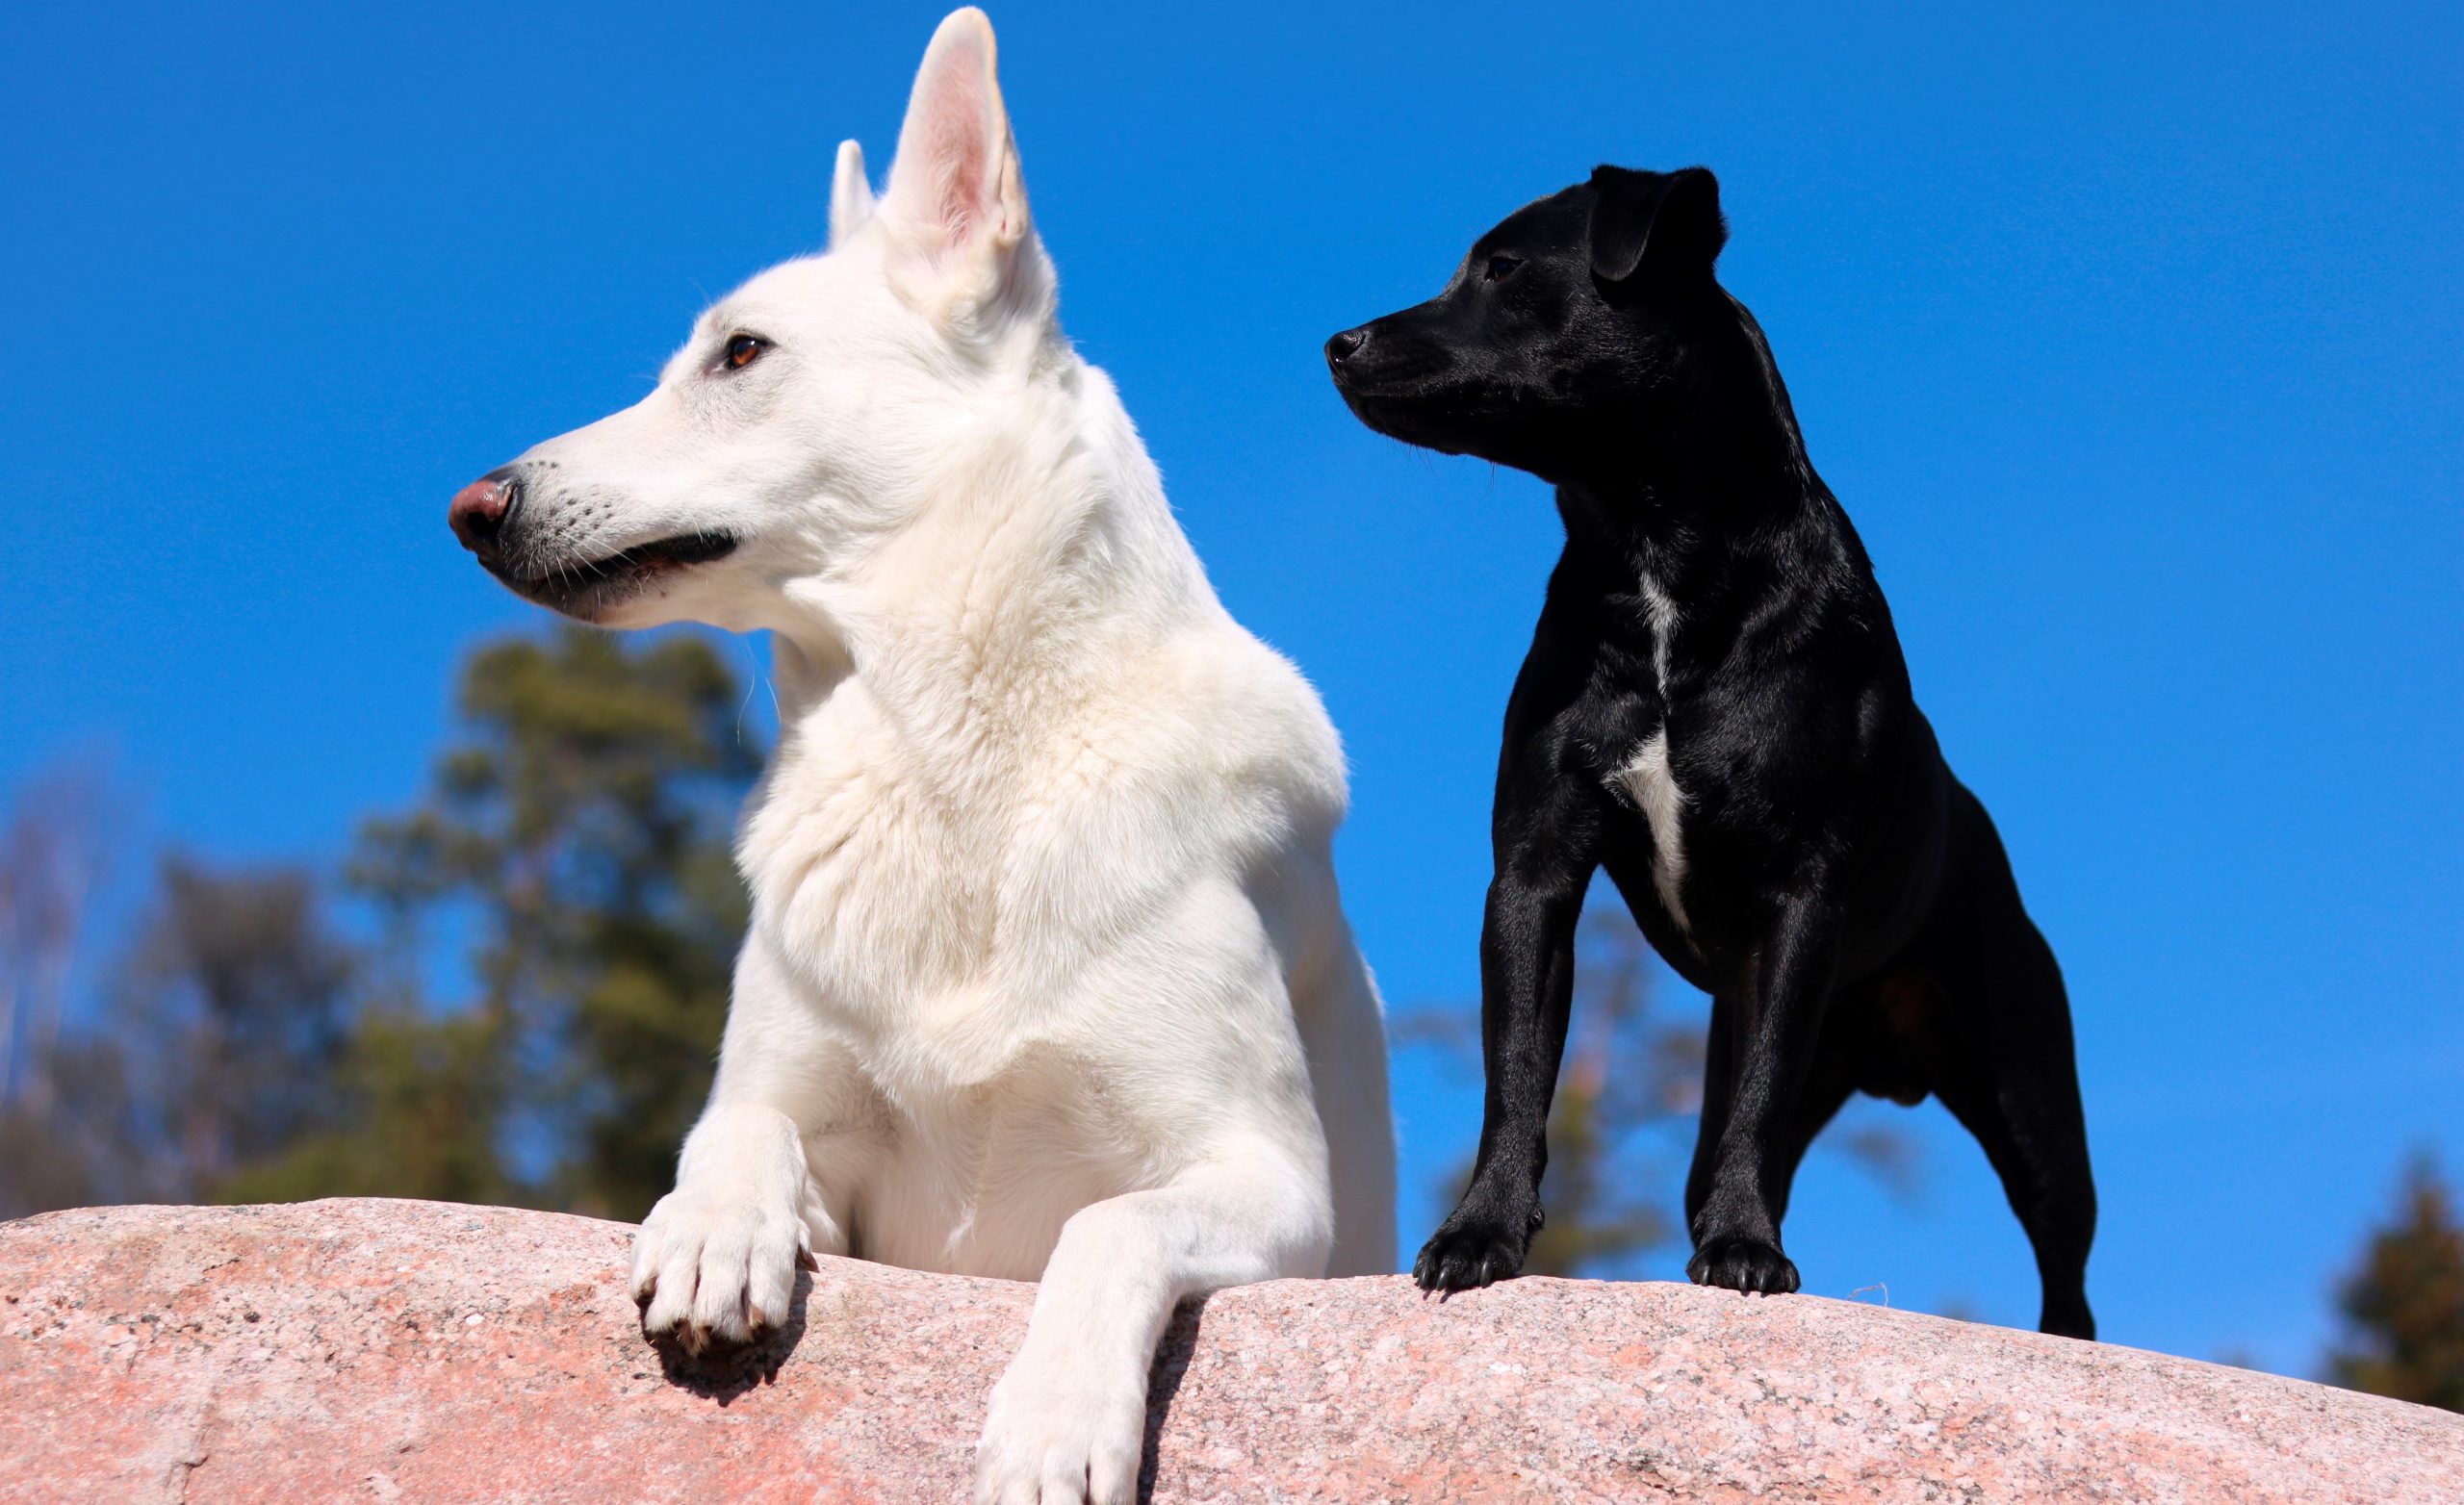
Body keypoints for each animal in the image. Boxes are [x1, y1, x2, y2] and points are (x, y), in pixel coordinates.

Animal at [450, 12, 1399, 1505]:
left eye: (740, 354)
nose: (473, 508)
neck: (953, 763)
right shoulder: (823, 1151)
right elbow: (738, 1127)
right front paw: (714, 1225)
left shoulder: (1264, 1180)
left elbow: (1109, 1227)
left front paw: (1056, 1419)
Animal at [1330, 167, 2099, 1339]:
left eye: (1503, 269)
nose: (1340, 340)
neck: (1653, 559)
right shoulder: (1534, 872)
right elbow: (1518, 1069)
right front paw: (1479, 1235)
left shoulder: (1799, 895)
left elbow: (1762, 1094)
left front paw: (1744, 1250)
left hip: (2031, 1094)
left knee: (2069, 1273)